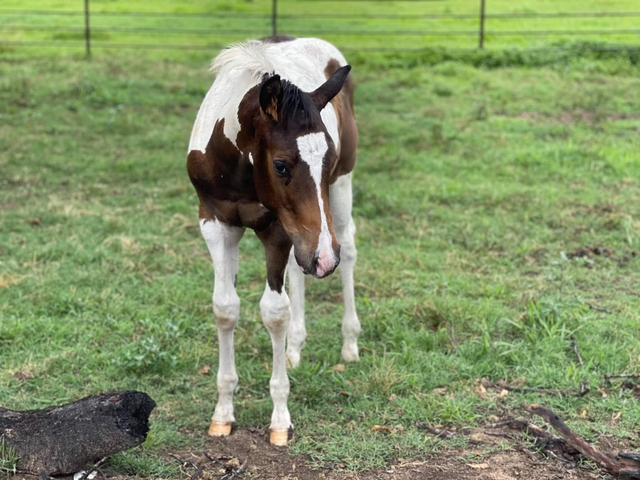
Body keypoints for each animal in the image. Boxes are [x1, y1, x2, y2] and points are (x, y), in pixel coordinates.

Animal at [188, 37, 362, 446]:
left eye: (327, 160)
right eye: (281, 165)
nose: (324, 259)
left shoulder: (278, 229)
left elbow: (274, 312)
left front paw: (280, 420)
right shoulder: (215, 222)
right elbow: (225, 307)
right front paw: (222, 413)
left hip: (340, 192)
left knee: (347, 249)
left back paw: (349, 343)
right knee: (302, 267)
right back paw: (295, 348)